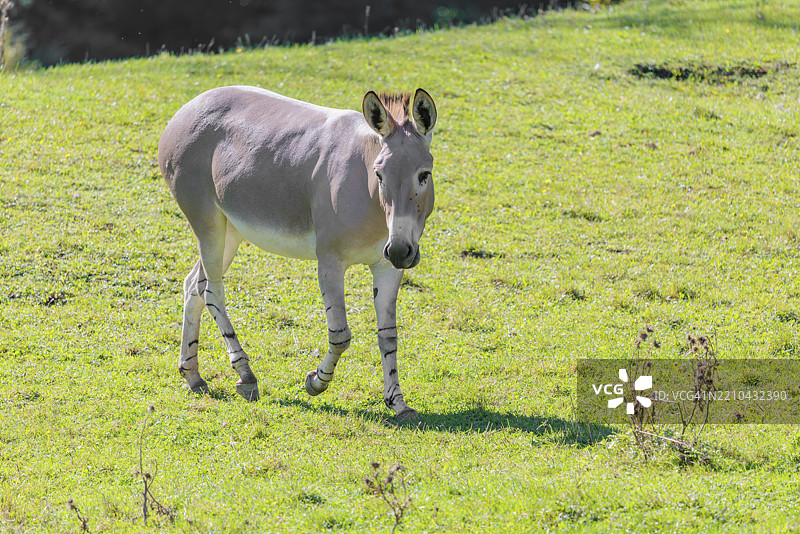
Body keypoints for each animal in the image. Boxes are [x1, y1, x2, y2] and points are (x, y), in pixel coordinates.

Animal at [158, 86, 437, 421]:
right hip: (207, 224)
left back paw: (193, 375)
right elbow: (340, 335)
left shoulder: (387, 267)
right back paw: (246, 375)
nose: (399, 250)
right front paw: (316, 382)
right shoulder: (329, 261)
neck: (368, 195)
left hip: (230, 230)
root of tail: (189, 107)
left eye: (424, 175)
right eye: (379, 175)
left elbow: (388, 335)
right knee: (211, 291)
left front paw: (397, 402)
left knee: (193, 286)